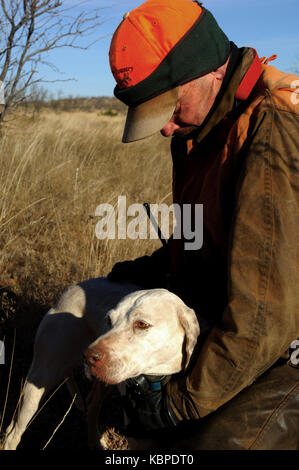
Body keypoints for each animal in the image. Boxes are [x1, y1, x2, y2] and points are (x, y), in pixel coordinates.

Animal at [3, 278, 200, 450]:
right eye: (109, 320)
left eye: (142, 324)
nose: (88, 356)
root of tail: (69, 291)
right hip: (40, 379)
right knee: (13, 432)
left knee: (91, 409)